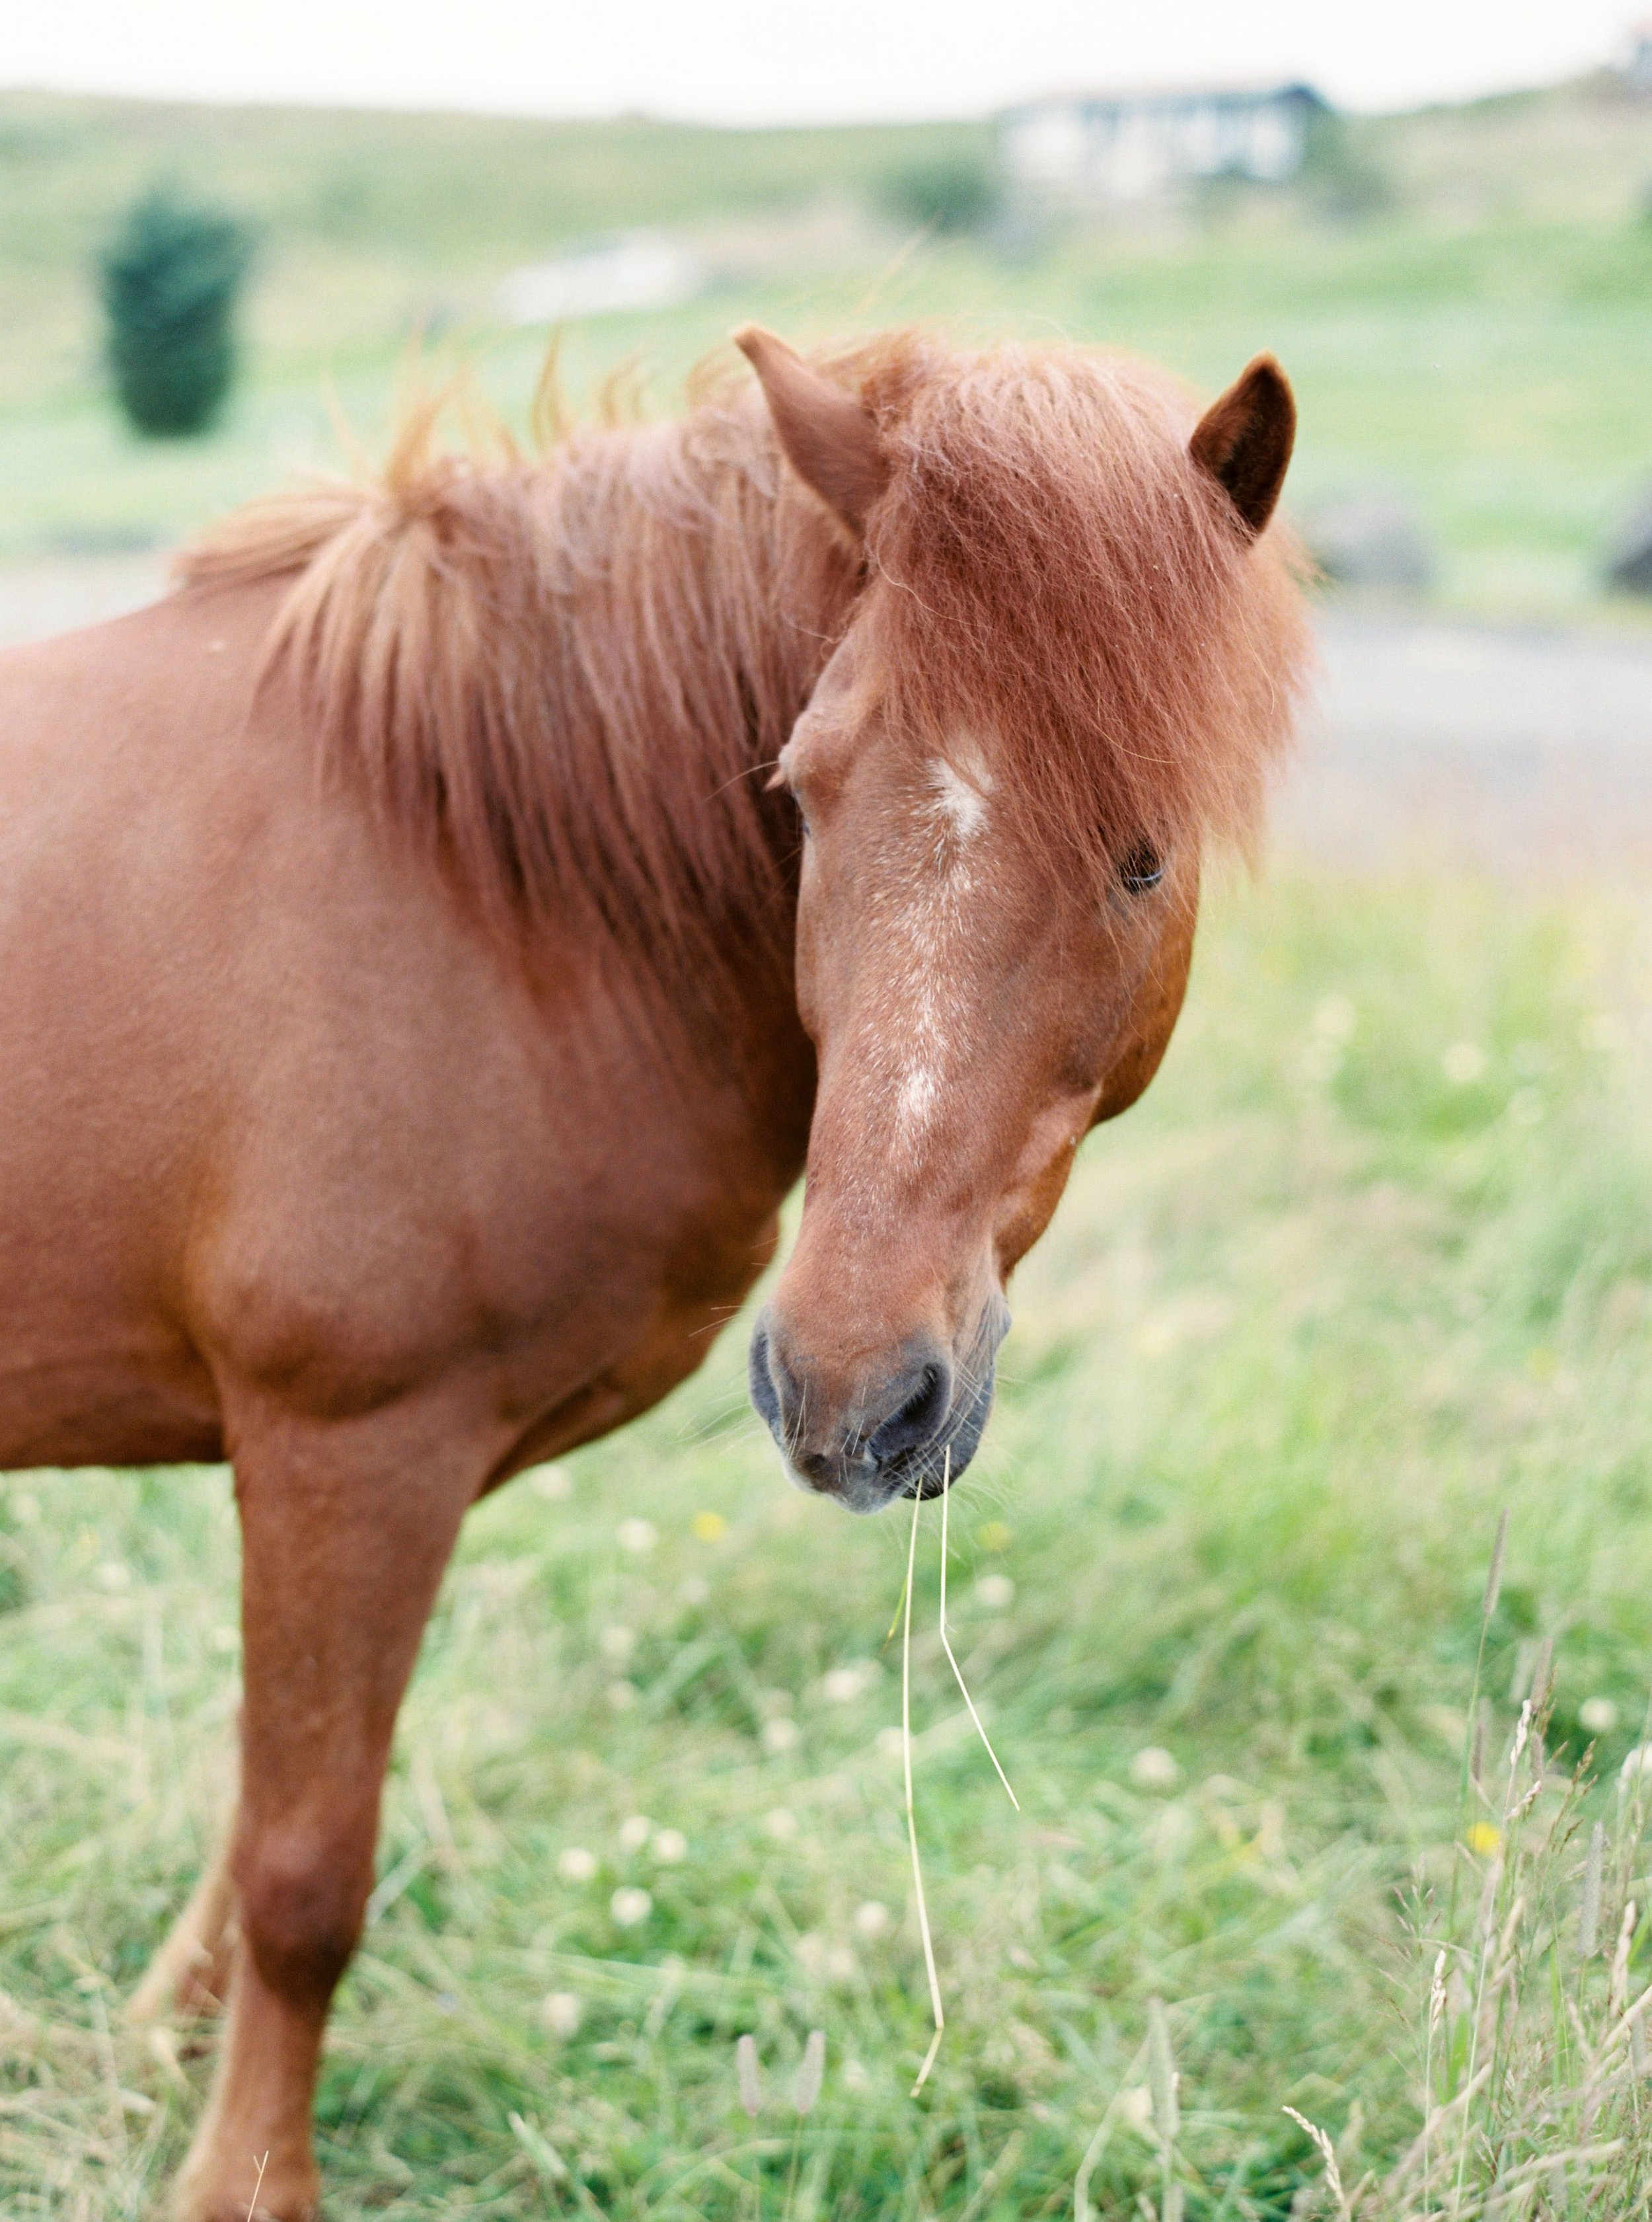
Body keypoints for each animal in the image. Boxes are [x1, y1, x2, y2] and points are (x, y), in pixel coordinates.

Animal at [0, 322, 1305, 2213]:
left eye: (1141, 852)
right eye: (802, 791)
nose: (851, 1388)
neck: (484, 871)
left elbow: (253, 1823)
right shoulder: (345, 1453)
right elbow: (305, 1871)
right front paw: (243, 2179)